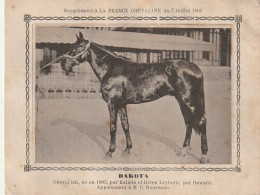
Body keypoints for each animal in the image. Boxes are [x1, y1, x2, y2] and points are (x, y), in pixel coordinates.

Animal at [61, 31, 209, 163]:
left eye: (76, 48)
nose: (63, 64)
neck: (110, 68)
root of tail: (196, 67)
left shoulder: (112, 103)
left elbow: (113, 127)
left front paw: (110, 152)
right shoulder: (122, 104)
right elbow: (125, 125)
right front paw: (127, 150)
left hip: (188, 101)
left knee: (201, 122)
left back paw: (204, 156)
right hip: (182, 102)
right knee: (189, 122)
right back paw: (183, 150)